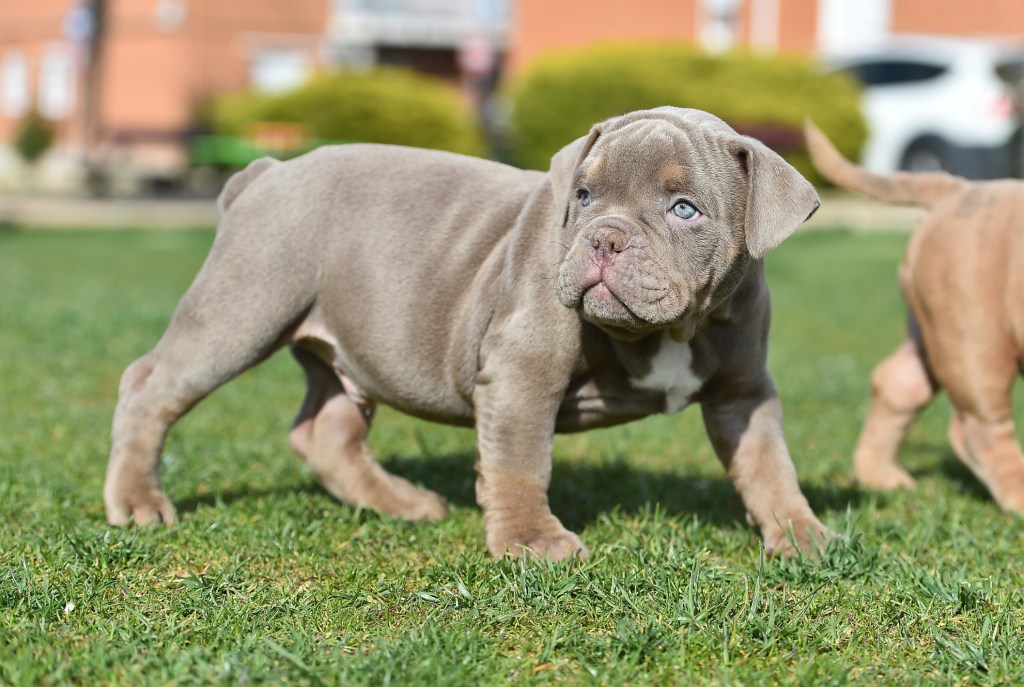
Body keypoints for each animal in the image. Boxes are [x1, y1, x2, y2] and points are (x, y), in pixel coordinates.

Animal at [101, 107, 831, 556]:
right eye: (584, 196)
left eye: (685, 210)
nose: (603, 239)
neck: (677, 327)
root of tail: (268, 171)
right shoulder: (522, 370)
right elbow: (521, 460)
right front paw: (532, 540)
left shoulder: (743, 390)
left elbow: (768, 462)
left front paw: (799, 531)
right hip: (242, 306)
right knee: (150, 386)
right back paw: (137, 501)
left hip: (343, 345)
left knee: (326, 429)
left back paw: (399, 502)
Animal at [806, 120, 1024, 513]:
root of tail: (957, 189)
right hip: (977, 335)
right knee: (980, 424)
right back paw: (1019, 494)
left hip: (933, 326)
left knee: (897, 384)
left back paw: (879, 476)